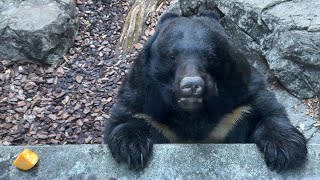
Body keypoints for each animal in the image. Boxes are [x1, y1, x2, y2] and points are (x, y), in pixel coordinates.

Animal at [104, 10, 306, 172]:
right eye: (172, 56)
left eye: (211, 57)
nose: (192, 85)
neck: (193, 114)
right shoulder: (143, 93)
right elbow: (128, 116)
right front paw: (131, 148)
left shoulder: (237, 105)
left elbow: (265, 109)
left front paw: (285, 150)